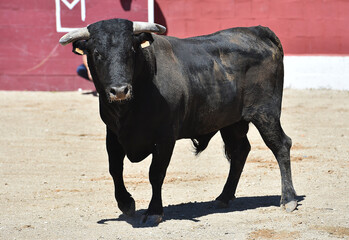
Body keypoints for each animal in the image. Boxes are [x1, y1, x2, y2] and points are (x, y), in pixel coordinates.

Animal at [59, 18, 296, 225]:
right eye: (97, 53)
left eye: (131, 51)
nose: (119, 90)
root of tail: (257, 30)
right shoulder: (114, 134)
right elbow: (115, 169)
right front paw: (126, 203)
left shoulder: (165, 137)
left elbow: (156, 173)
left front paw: (154, 212)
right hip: (231, 121)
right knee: (240, 151)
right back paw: (223, 197)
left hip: (266, 113)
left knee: (280, 145)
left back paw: (288, 199)